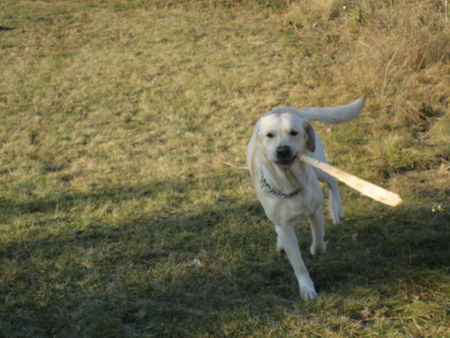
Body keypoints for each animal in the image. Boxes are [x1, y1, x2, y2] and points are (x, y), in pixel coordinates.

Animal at [248, 96, 364, 300]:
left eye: (294, 133)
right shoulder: (284, 226)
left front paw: (316, 249)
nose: (283, 150)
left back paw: (336, 209)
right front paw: (306, 288)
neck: (289, 184)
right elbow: (298, 263)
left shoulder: (314, 211)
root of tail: (295, 110)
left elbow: (318, 242)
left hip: (318, 166)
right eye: (270, 135)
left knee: (333, 179)